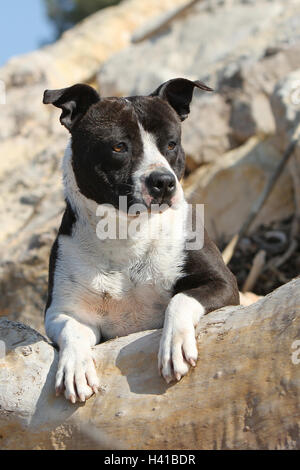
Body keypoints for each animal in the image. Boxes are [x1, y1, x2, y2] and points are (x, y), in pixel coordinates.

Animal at [42, 78, 239, 404]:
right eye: (118, 146)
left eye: (171, 144)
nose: (163, 181)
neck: (126, 234)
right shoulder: (63, 311)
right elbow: (74, 329)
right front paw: (75, 368)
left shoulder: (222, 282)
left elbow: (180, 299)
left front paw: (174, 345)